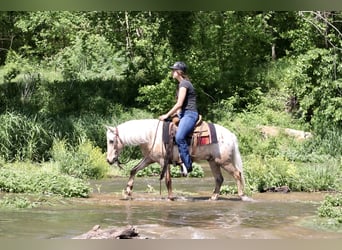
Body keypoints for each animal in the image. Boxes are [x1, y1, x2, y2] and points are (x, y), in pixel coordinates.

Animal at [105, 118, 250, 201]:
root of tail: (230, 135)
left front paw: (170, 197)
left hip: (224, 162)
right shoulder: (149, 159)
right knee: (219, 179)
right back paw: (213, 197)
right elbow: (133, 170)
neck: (151, 135)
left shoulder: (163, 161)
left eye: (111, 141)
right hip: (213, 161)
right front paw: (127, 192)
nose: (109, 160)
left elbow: (168, 180)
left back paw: (242, 195)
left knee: (237, 174)